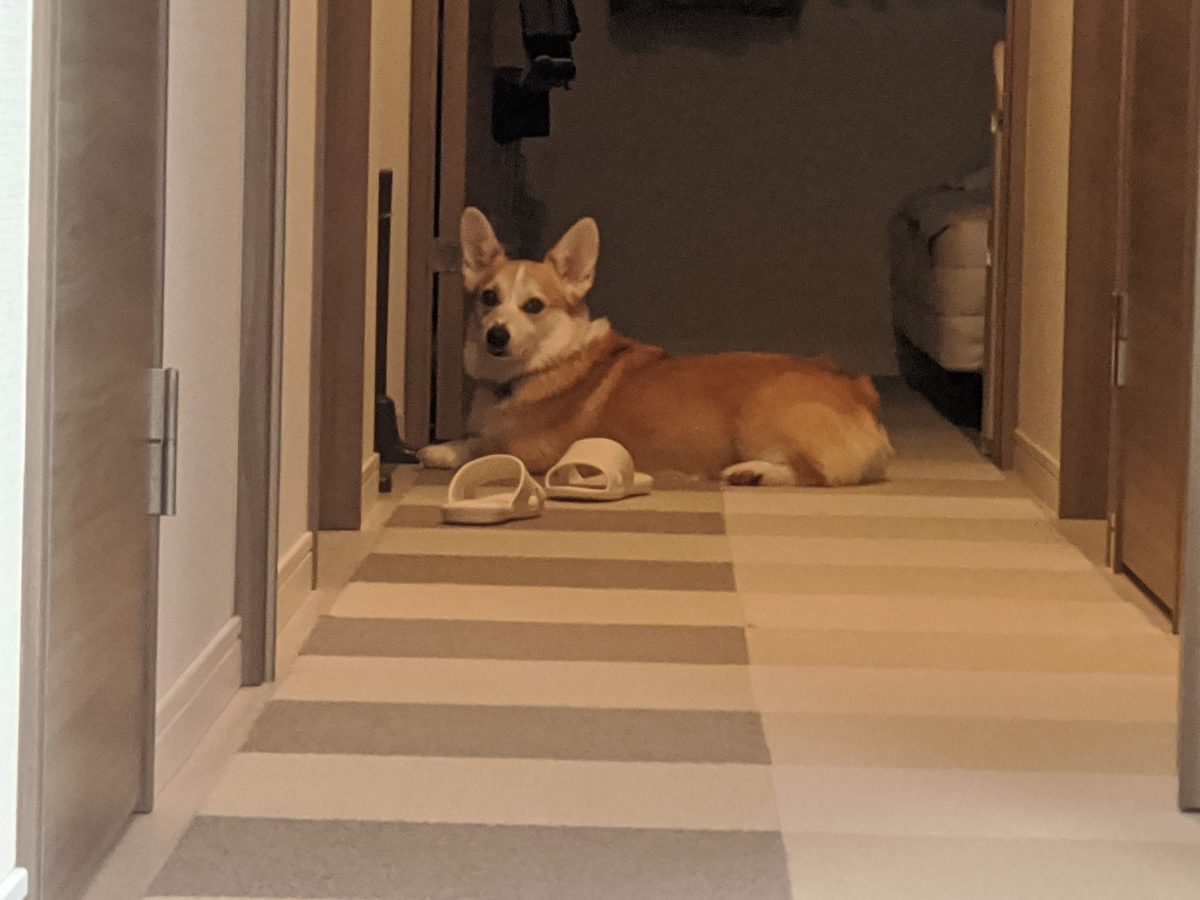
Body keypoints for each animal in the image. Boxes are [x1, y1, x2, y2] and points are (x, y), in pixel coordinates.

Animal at [418, 208, 893, 486]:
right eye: (488, 297)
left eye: (534, 305)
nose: (496, 335)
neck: (529, 373)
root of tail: (860, 390)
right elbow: (477, 436)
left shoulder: (535, 451)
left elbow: (483, 446)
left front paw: (440, 450)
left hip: (760, 411)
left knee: (817, 474)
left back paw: (751, 472)